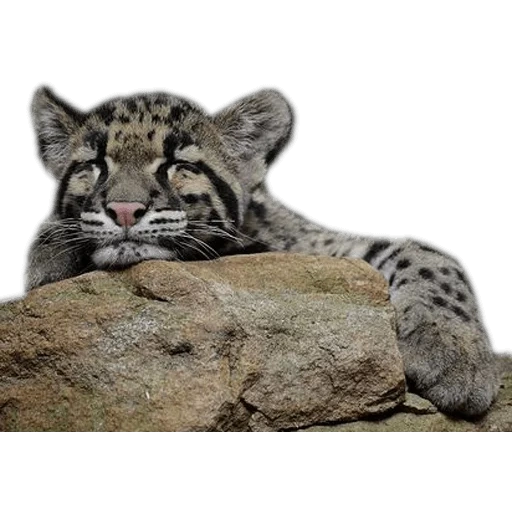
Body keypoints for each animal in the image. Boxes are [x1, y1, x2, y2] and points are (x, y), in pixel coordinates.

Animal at [27, 87, 496, 416]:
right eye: (94, 164)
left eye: (179, 164)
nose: (124, 210)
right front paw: (50, 253)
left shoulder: (319, 248)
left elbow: (424, 256)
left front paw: (457, 356)